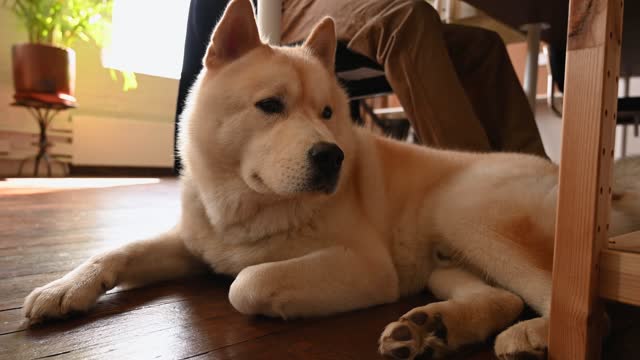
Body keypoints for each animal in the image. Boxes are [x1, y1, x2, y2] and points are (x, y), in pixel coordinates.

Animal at [22, 1, 640, 358]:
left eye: (326, 113)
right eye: (270, 106)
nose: (331, 156)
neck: (245, 207)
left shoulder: (370, 267)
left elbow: (246, 283)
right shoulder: (195, 244)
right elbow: (117, 252)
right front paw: (64, 288)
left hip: (466, 213)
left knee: (588, 308)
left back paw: (532, 336)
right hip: (445, 259)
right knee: (501, 298)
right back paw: (431, 329)